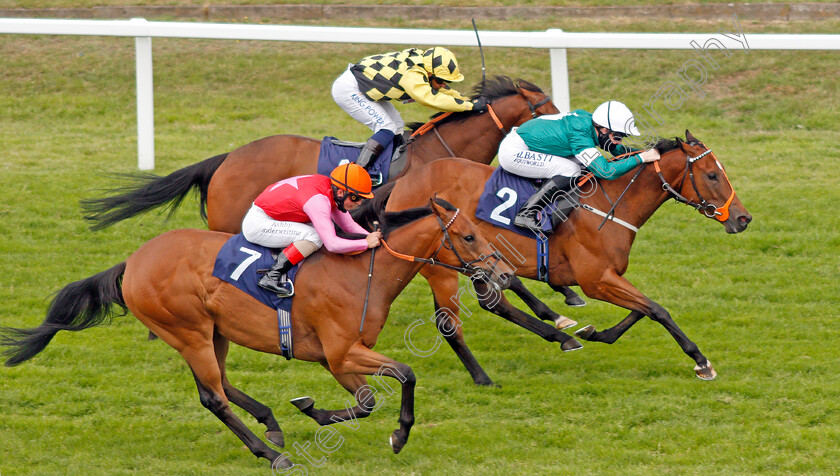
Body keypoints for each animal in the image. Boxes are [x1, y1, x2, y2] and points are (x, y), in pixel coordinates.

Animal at [1, 194, 506, 468]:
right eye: (468, 237)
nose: (501, 274)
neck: (362, 272)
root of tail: (133, 262)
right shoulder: (341, 352)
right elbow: (405, 375)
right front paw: (398, 436)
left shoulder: (339, 358)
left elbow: (365, 402)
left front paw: (313, 410)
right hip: (189, 331)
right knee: (213, 397)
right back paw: (271, 453)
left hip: (214, 332)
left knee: (221, 383)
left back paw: (273, 425)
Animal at [378, 129, 752, 380]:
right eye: (712, 175)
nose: (742, 218)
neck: (606, 206)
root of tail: (403, 183)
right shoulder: (595, 280)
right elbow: (657, 310)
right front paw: (701, 360)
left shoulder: (609, 276)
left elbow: (644, 308)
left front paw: (595, 333)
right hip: (443, 265)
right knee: (451, 322)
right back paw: (485, 375)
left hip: (477, 263)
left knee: (495, 303)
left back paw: (561, 335)